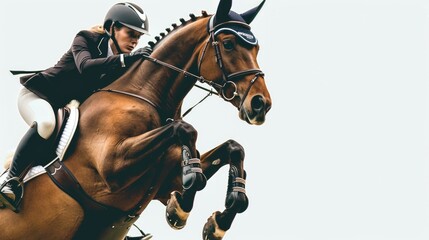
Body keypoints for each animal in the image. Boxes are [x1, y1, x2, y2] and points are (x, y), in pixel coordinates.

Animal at [0, 0, 270, 239]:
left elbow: (233, 148)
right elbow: (185, 130)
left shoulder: (165, 184)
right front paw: (182, 205)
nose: (261, 104)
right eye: (228, 44)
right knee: (44, 127)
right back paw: (9, 191)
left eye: (257, 49)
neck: (148, 96)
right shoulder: (111, 167)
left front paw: (216, 220)